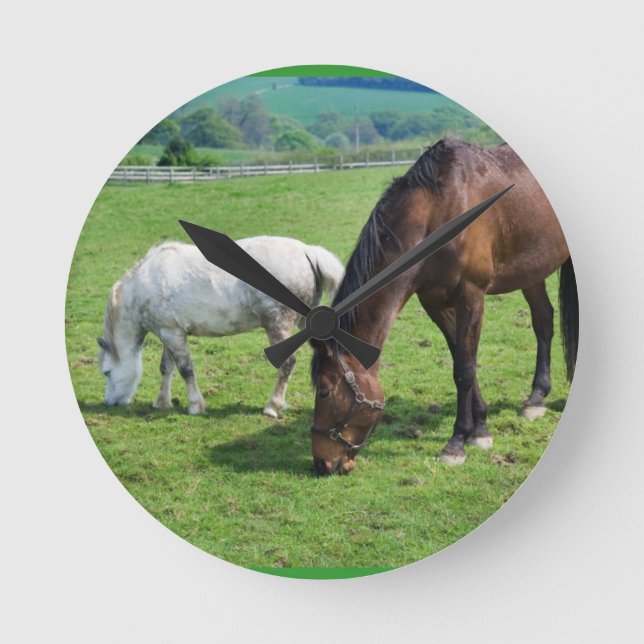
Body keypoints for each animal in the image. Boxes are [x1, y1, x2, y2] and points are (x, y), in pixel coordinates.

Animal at [97, 237, 343, 417]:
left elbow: (186, 369)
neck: (144, 284)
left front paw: (195, 406)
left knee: (287, 364)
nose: (110, 402)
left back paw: (272, 406)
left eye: (106, 372)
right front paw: (162, 402)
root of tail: (306, 251)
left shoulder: (173, 335)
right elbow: (167, 368)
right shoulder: (169, 332)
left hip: (278, 326)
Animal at [310, 139, 579, 475]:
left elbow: (464, 369)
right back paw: (536, 398)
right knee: (543, 320)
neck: (438, 214)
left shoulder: (471, 296)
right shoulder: (436, 303)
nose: (322, 463)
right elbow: (462, 361)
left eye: (324, 391)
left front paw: (457, 442)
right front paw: (479, 428)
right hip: (531, 271)